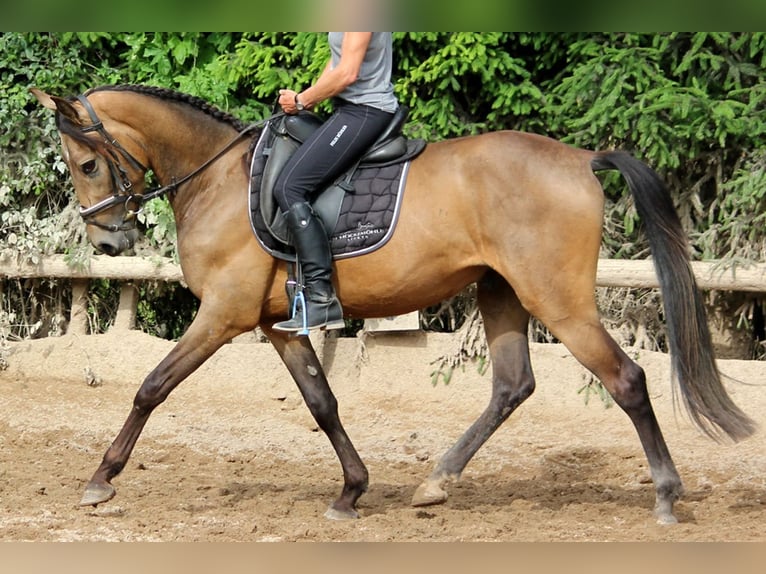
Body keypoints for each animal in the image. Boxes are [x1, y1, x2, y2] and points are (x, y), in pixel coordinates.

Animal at [31, 83, 756, 528]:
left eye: (88, 165)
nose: (109, 239)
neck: (219, 179)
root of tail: (580, 160)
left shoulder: (223, 317)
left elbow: (151, 387)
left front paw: (101, 479)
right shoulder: (277, 324)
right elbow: (322, 402)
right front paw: (352, 490)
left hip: (559, 300)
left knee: (625, 379)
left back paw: (666, 496)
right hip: (501, 292)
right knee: (513, 385)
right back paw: (436, 482)